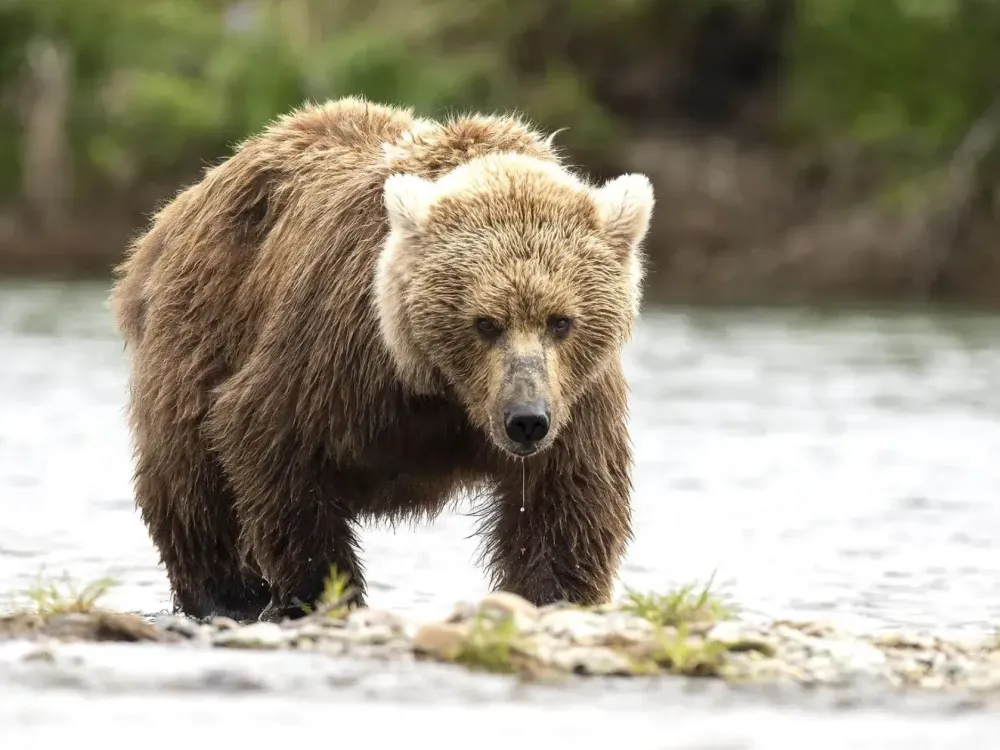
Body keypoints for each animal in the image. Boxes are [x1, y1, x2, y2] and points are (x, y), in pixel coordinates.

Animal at [110, 96, 655, 623]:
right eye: (485, 322)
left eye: (561, 321)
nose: (525, 420)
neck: (440, 389)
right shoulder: (336, 354)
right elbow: (273, 448)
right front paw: (324, 591)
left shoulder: (576, 398)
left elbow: (565, 504)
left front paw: (552, 596)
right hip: (202, 325)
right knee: (190, 481)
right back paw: (226, 596)